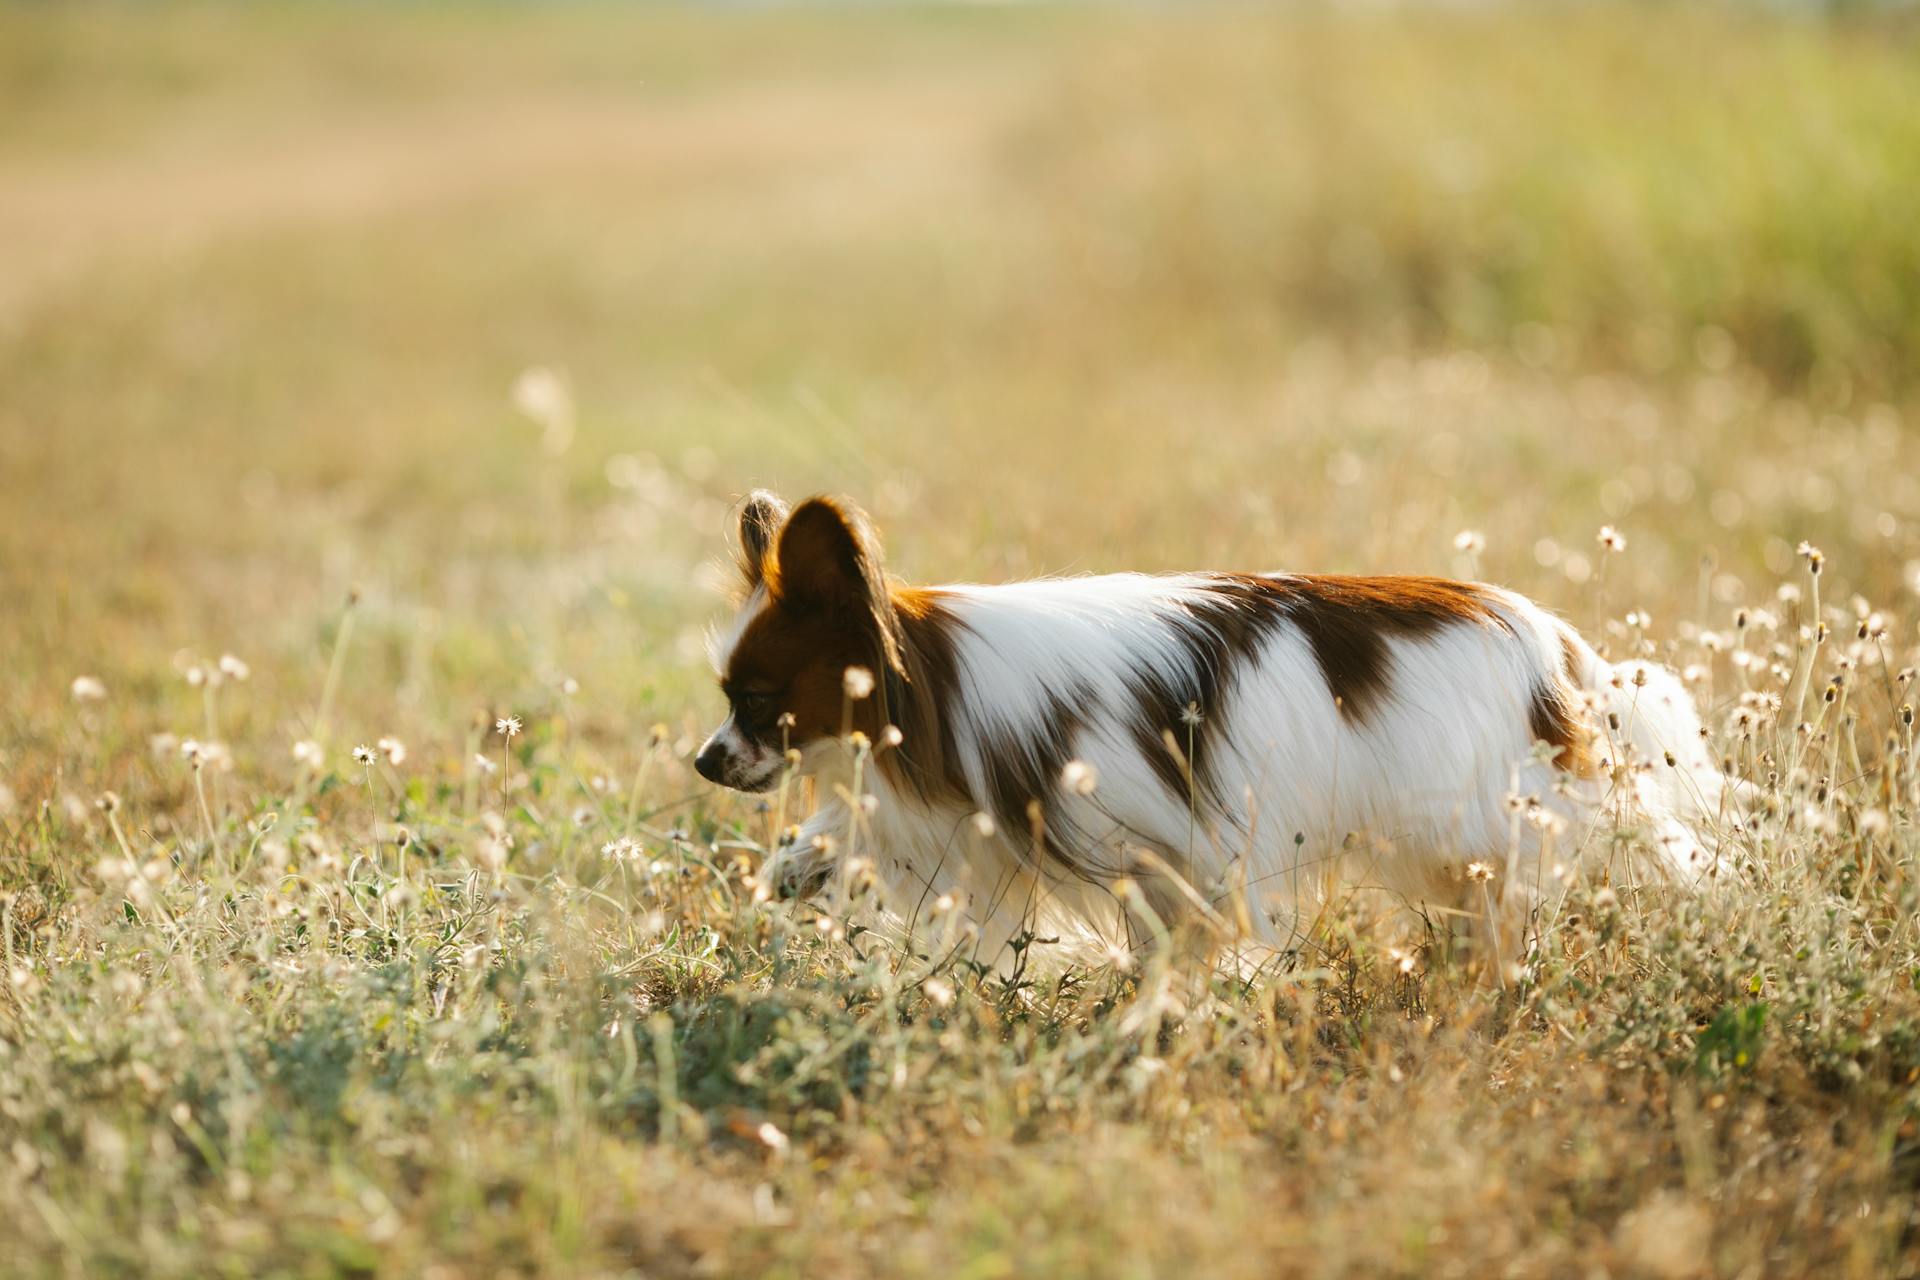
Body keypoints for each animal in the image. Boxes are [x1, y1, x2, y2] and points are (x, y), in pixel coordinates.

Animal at [695, 491, 1728, 959]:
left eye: (757, 701)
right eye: (727, 697)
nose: (704, 761)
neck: (942, 683)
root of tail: (1555, 641)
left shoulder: (1172, 849)